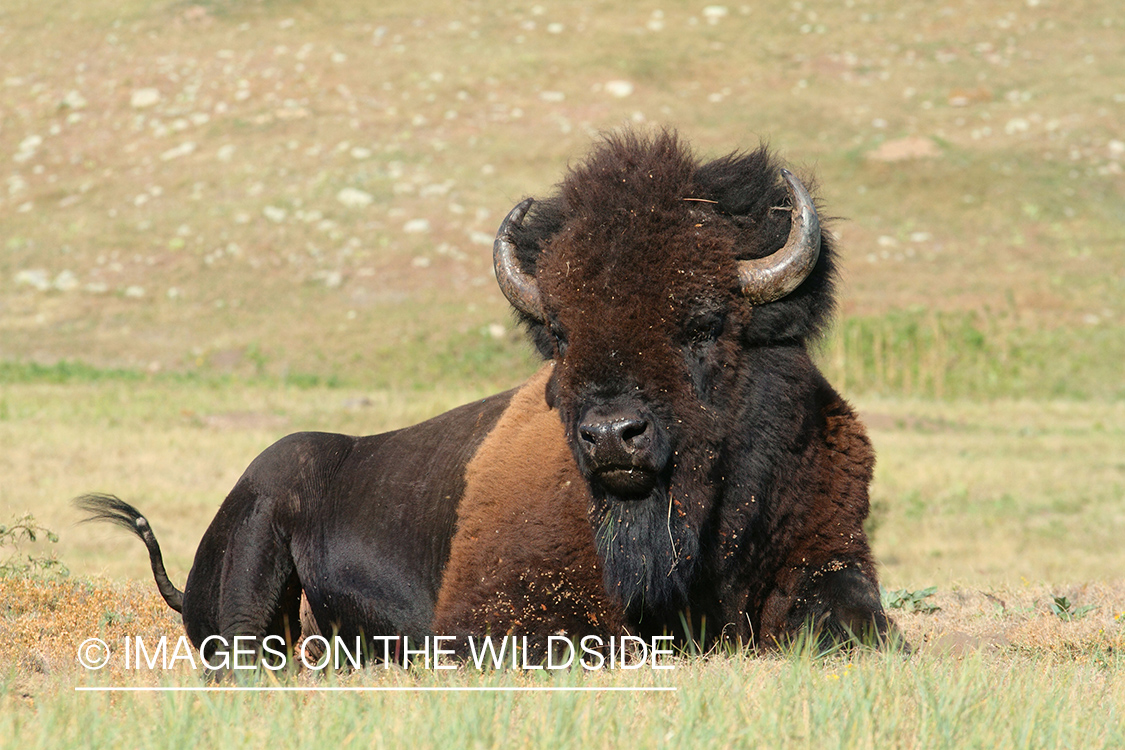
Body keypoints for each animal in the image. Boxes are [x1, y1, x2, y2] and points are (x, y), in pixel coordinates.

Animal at [81, 127, 895, 661]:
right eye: (561, 332)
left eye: (701, 324)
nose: (611, 436)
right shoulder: (497, 612)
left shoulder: (831, 558)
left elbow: (859, 628)